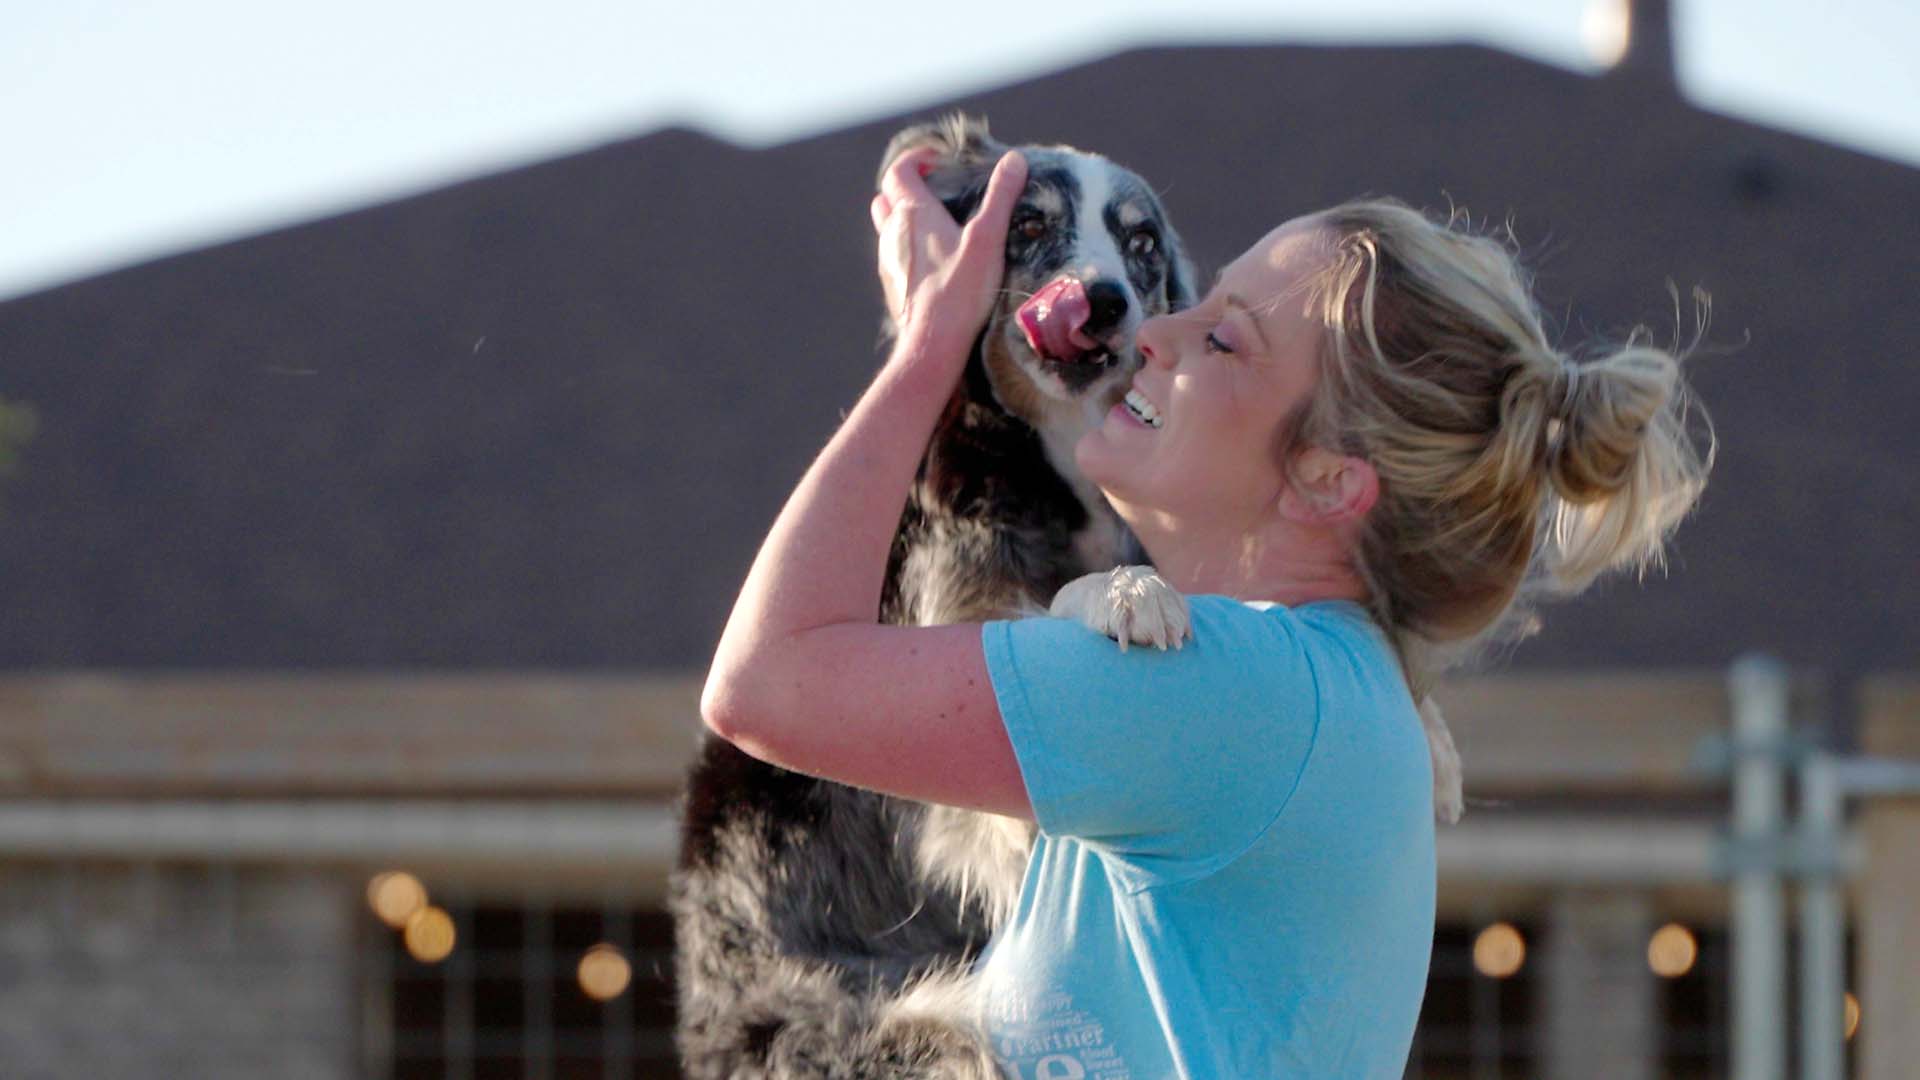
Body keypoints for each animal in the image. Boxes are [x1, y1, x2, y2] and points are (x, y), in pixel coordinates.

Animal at [668, 113, 1190, 1068]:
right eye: (1027, 224)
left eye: (1140, 244)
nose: (1102, 300)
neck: (1059, 457)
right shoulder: (952, 620)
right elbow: (1027, 616)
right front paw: (1124, 593)